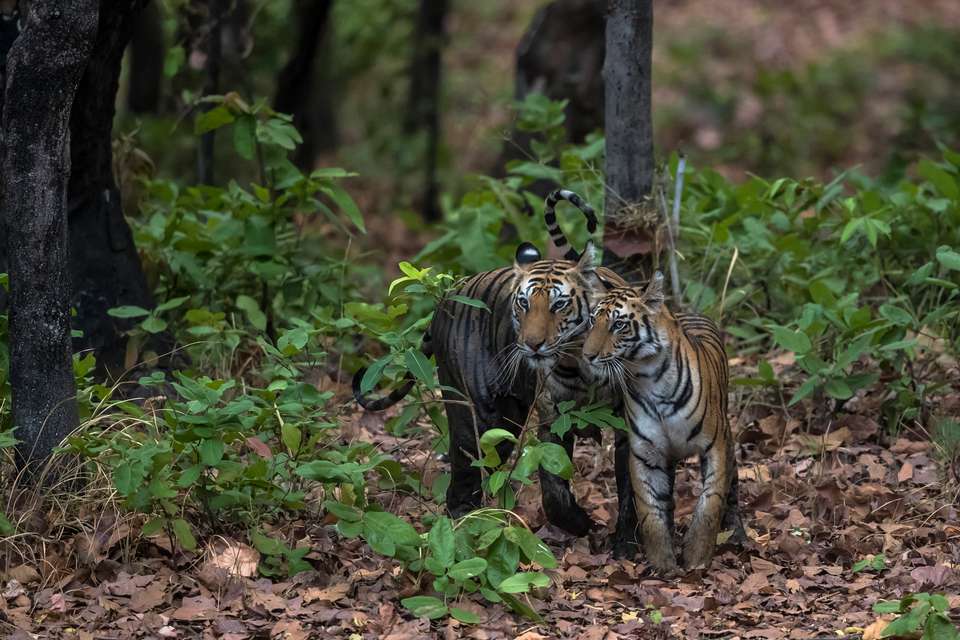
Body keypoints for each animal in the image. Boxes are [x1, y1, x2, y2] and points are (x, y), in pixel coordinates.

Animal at [354, 190, 630, 538]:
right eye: (523, 304)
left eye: (559, 305)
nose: (531, 344)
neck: (581, 361)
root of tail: (445, 298)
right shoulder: (554, 412)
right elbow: (553, 481)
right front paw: (580, 524)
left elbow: (634, 485)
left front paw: (628, 540)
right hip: (475, 407)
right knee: (466, 461)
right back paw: (465, 524)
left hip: (508, 416)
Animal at [581, 272, 746, 572]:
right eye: (591, 321)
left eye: (618, 325)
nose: (587, 356)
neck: (649, 376)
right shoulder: (646, 453)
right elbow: (650, 510)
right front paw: (663, 565)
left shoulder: (714, 446)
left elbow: (709, 503)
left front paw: (696, 560)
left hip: (727, 437)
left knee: (733, 489)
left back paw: (737, 534)